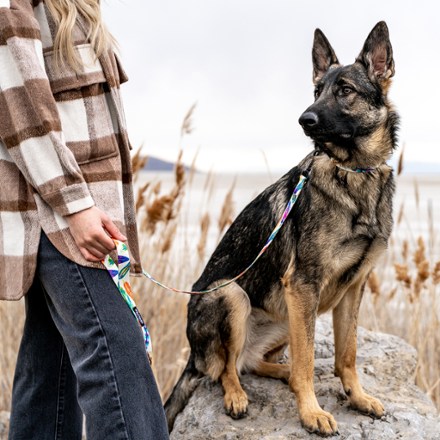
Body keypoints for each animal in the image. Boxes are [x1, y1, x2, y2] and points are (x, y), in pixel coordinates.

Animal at [166, 21, 398, 436]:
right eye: (317, 91)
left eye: (345, 91)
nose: (305, 120)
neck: (354, 172)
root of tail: (193, 357)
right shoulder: (303, 284)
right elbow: (307, 361)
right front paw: (310, 412)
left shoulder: (353, 287)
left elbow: (348, 353)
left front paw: (357, 397)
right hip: (232, 295)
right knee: (226, 368)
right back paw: (237, 395)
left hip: (288, 317)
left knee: (253, 362)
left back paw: (281, 373)